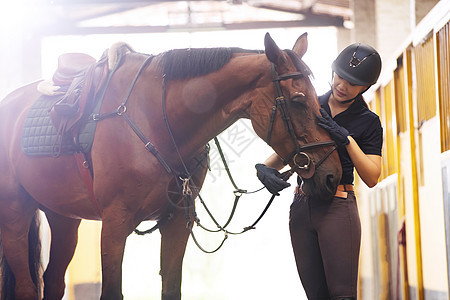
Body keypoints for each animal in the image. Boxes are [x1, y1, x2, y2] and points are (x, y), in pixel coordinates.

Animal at [0, 32, 340, 300]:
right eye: (298, 100)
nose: (332, 173)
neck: (157, 120)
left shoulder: (177, 221)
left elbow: (171, 288)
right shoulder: (115, 224)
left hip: (64, 218)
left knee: (52, 281)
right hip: (15, 214)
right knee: (27, 287)